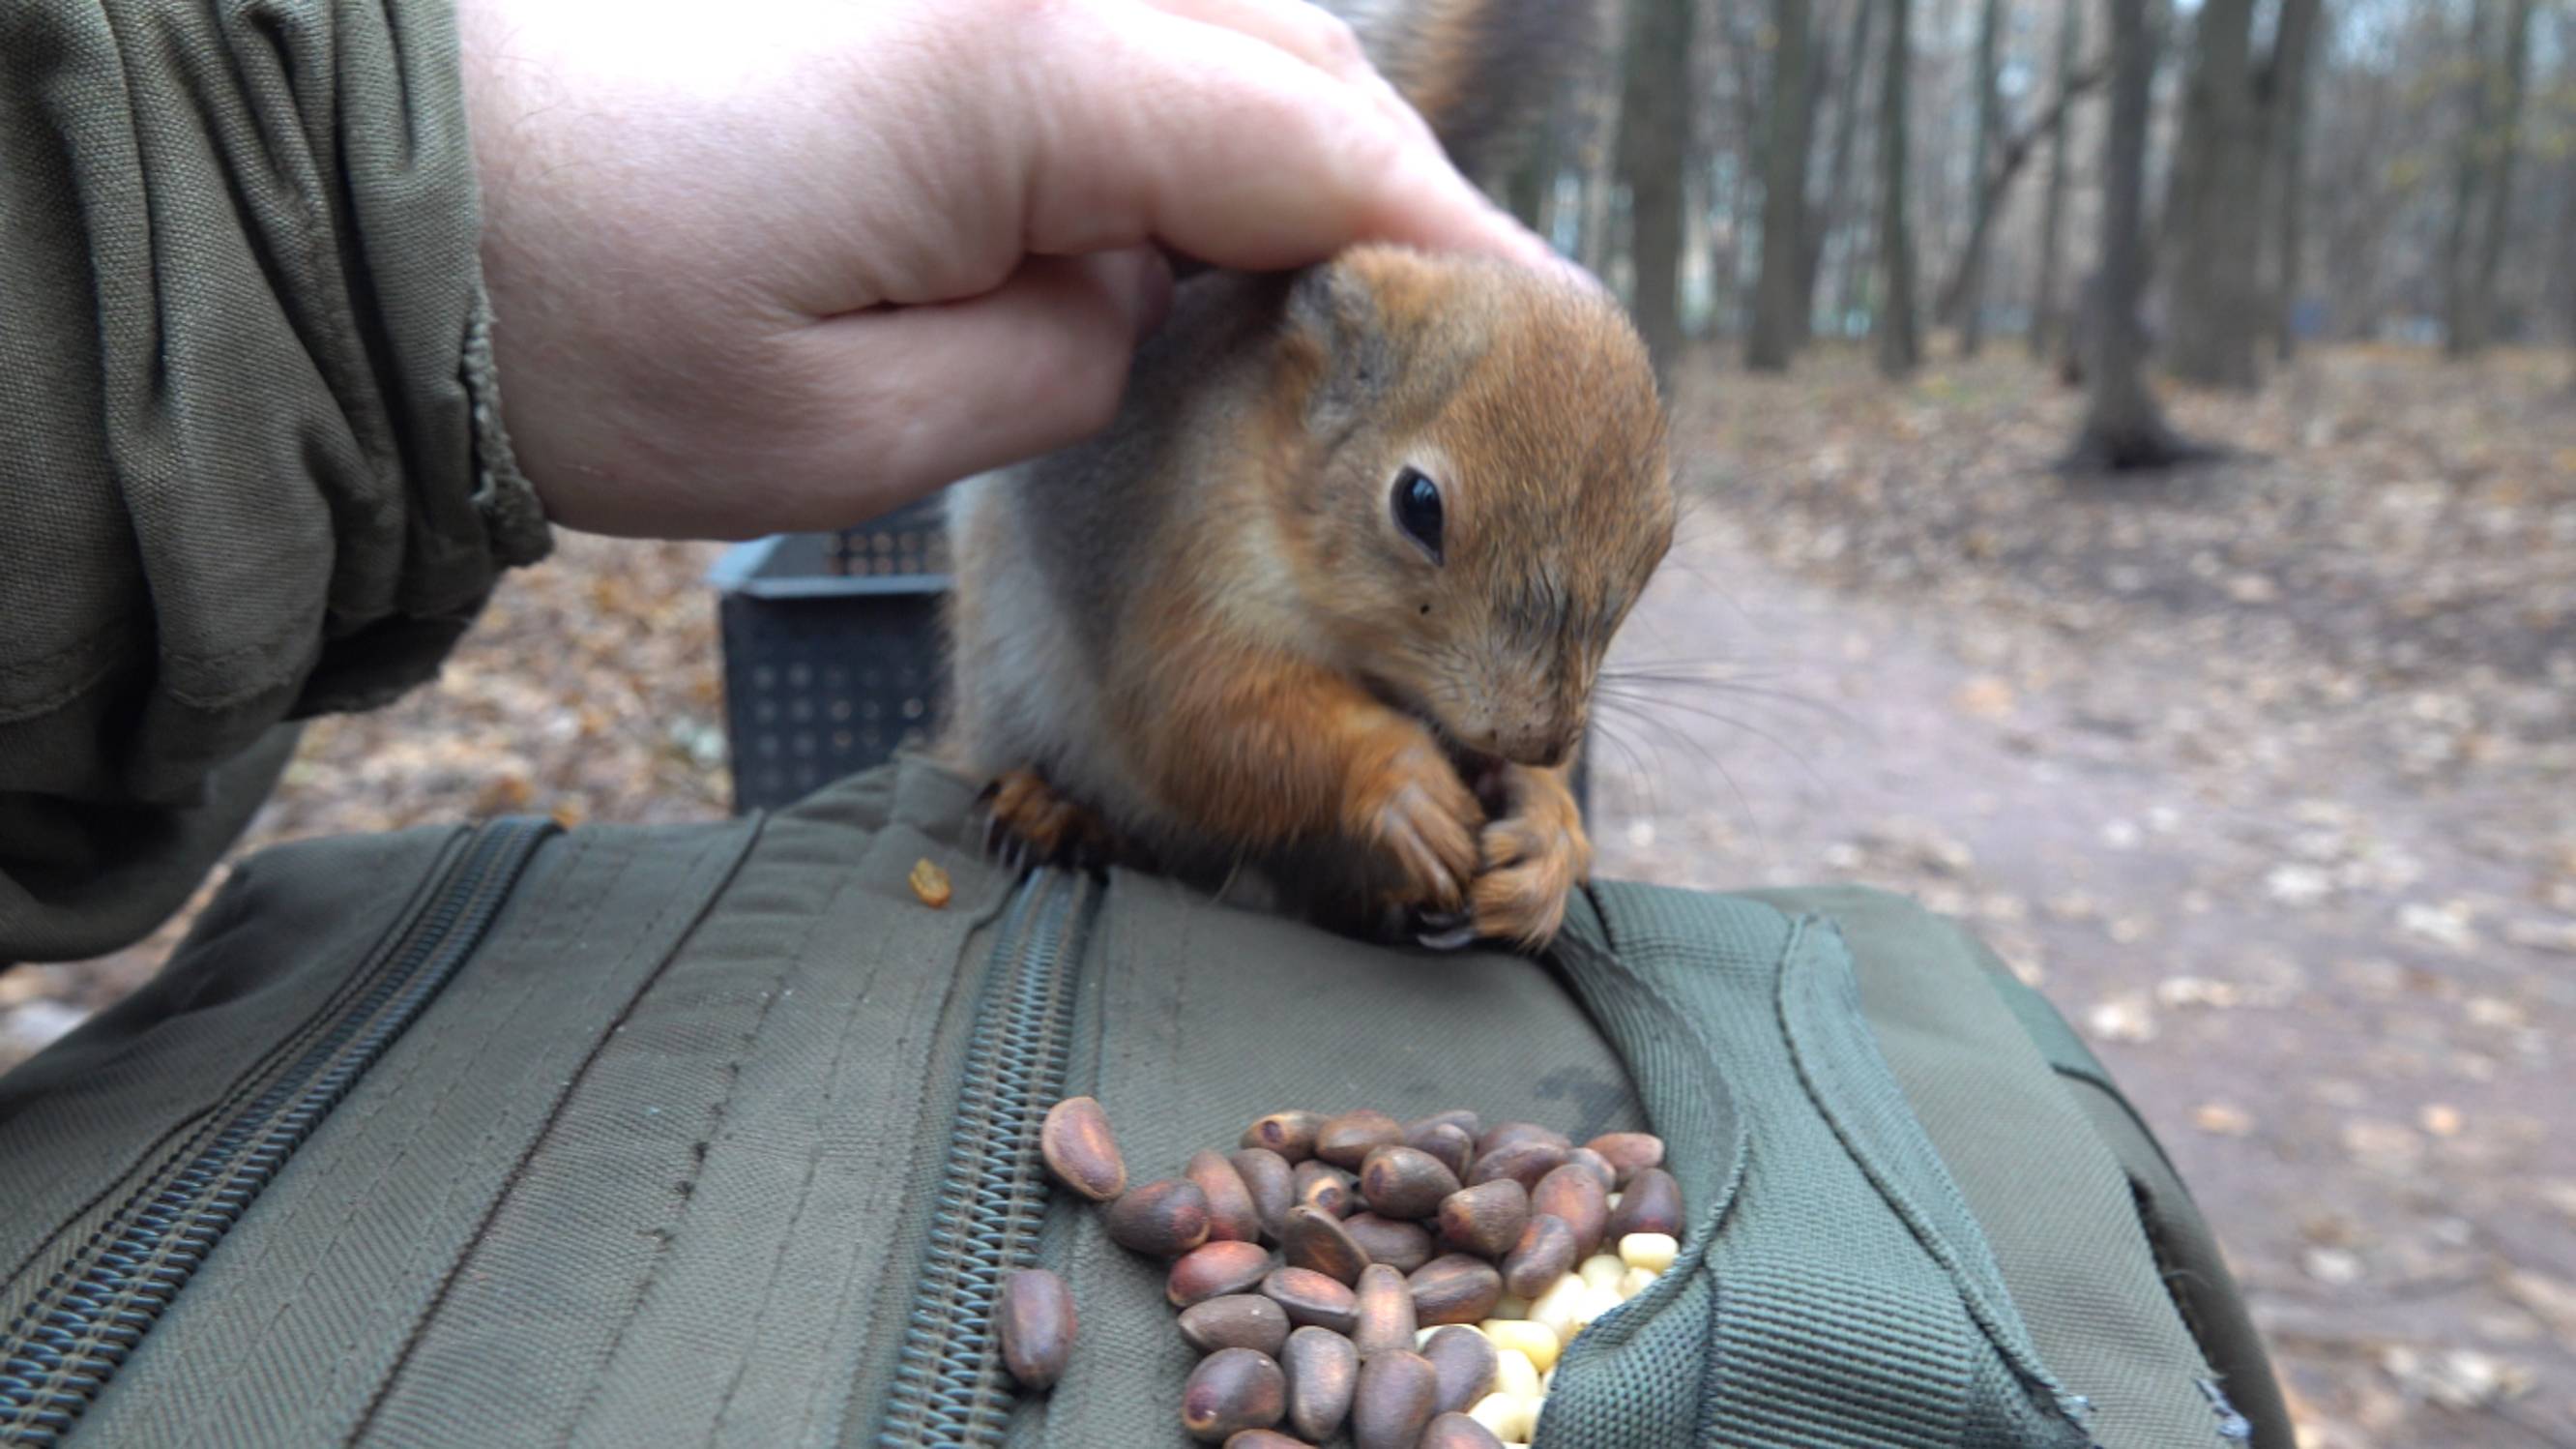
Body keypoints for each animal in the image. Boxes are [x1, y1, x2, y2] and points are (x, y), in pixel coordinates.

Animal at [937, 0, 1679, 948]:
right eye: (1418, 505)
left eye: (1661, 543)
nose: (1536, 740)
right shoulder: (1183, 549)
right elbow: (1203, 711)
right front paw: (1402, 781)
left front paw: (1547, 832)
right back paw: (1054, 807)